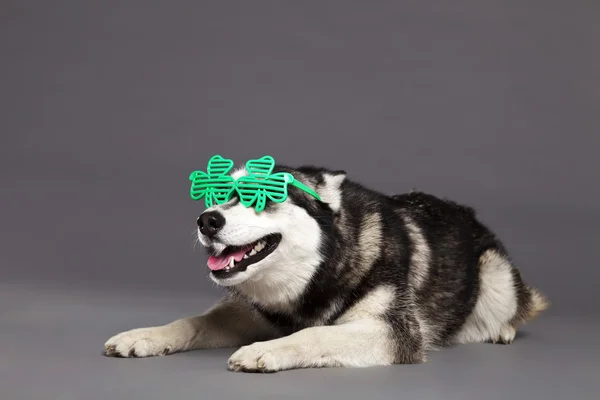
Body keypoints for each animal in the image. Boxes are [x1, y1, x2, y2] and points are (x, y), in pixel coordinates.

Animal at [104, 162, 548, 372]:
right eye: (222, 195)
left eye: (264, 198)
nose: (207, 220)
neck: (315, 278)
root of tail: (466, 211)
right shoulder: (248, 312)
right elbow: (192, 321)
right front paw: (144, 336)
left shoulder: (394, 331)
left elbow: (316, 334)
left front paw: (264, 350)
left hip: (496, 277)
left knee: (518, 306)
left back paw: (502, 329)